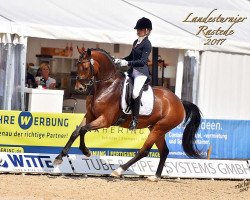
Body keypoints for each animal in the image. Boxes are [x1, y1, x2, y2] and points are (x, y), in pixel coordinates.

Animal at [53, 47, 202, 181]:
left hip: (160, 128)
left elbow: (83, 129)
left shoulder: (105, 120)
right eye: (77, 65)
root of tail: (179, 102)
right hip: (156, 128)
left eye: (84, 66)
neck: (106, 85)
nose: (79, 88)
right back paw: (155, 176)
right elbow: (76, 131)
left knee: (144, 151)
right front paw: (59, 158)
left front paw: (85, 151)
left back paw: (119, 171)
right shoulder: (90, 116)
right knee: (164, 151)